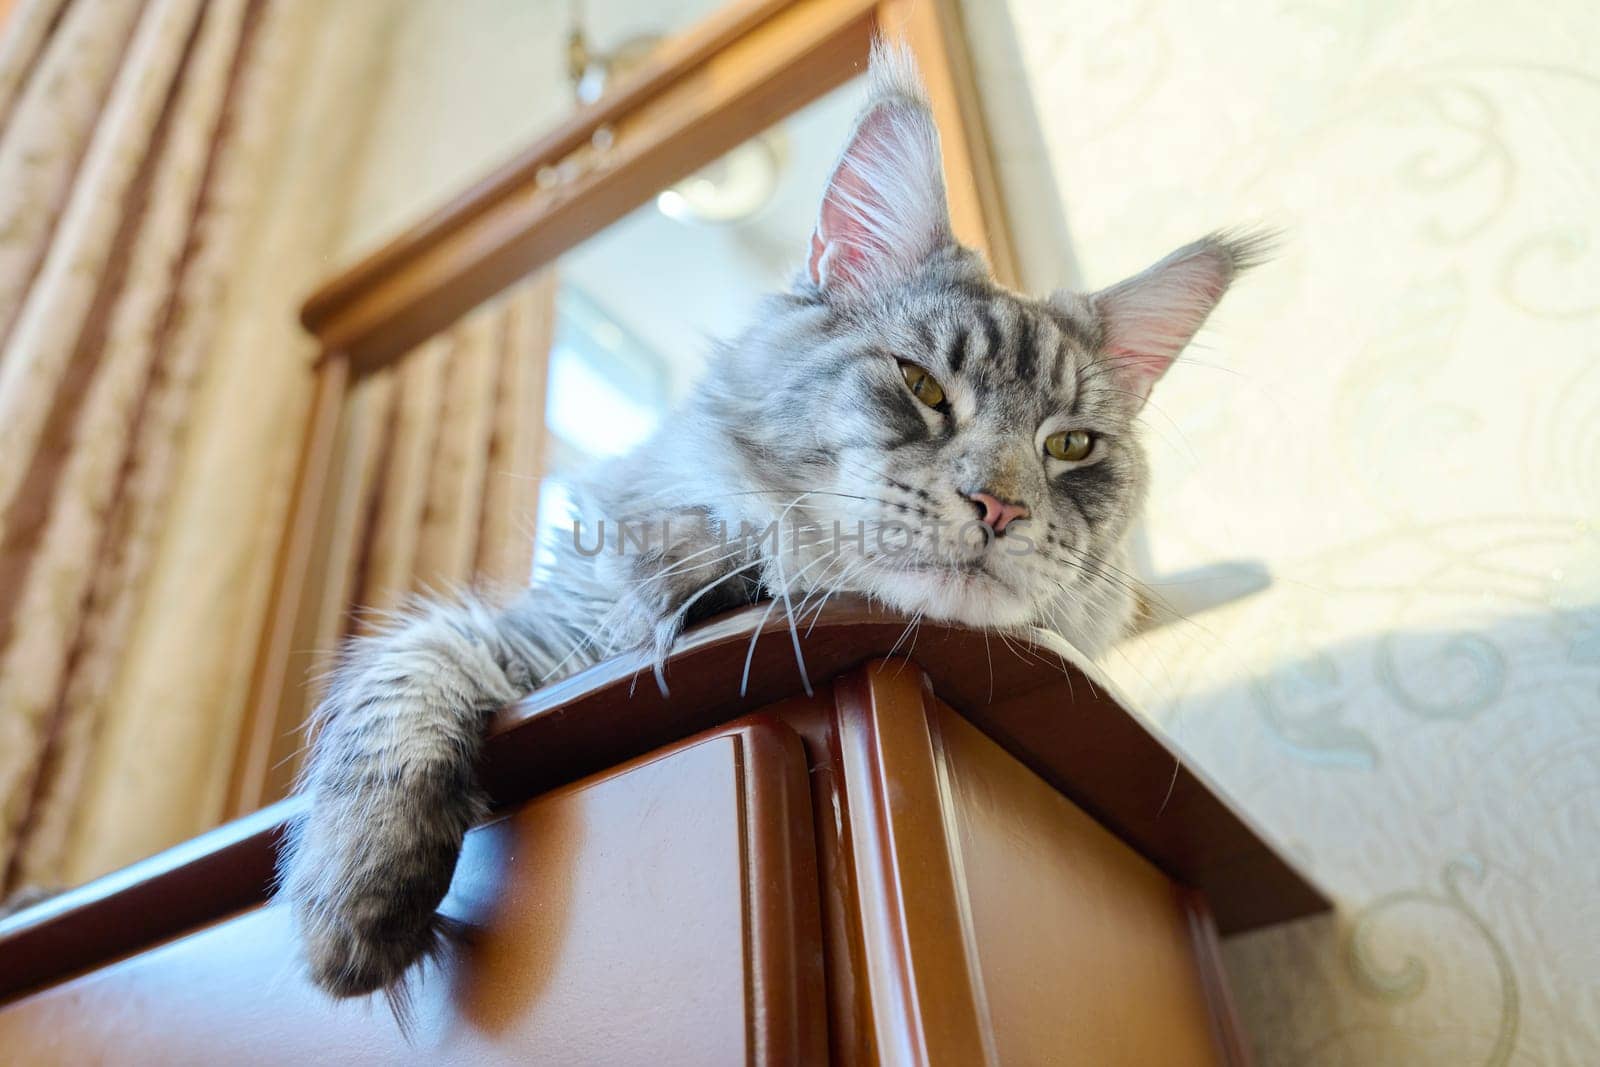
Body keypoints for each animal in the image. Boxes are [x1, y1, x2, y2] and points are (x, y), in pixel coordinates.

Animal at [284, 45, 1260, 1004]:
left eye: (1069, 445)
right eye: (922, 386)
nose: (1001, 504)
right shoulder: (531, 633)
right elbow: (405, 674)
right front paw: (355, 904)